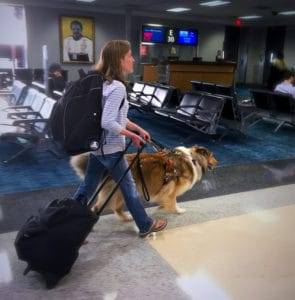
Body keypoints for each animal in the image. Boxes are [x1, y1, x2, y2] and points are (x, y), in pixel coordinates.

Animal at [69, 145, 217, 220]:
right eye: (212, 155)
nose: (218, 162)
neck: (193, 159)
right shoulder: (171, 188)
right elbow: (173, 201)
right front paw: (178, 210)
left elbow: (164, 201)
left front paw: (161, 207)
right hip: (119, 190)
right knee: (102, 206)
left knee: (114, 208)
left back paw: (127, 217)